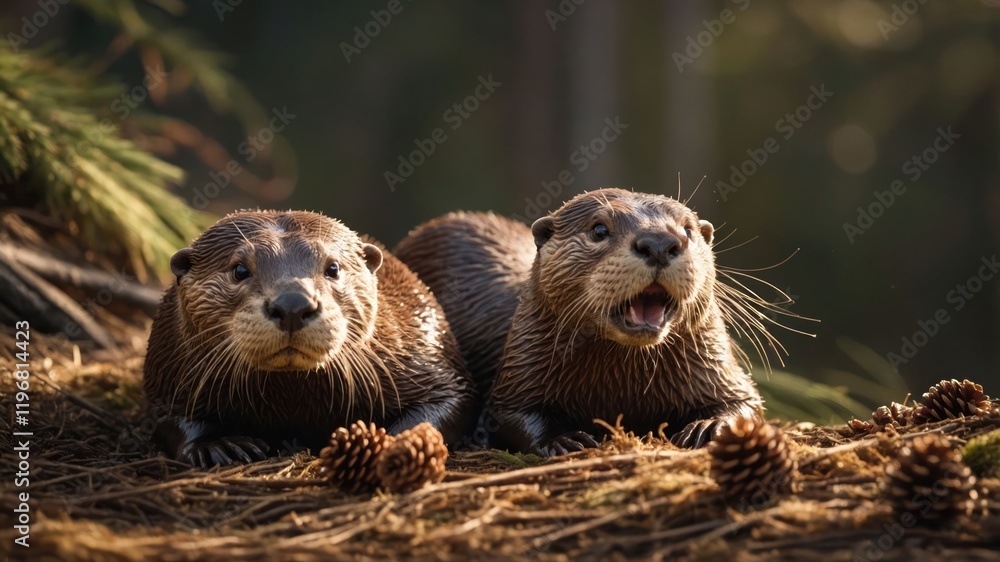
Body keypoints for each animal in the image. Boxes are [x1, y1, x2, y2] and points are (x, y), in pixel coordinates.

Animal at [142, 208, 480, 466]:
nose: (293, 304)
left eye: (333, 268)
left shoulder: (420, 349)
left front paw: (394, 441)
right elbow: (166, 416)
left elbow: (450, 398)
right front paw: (218, 444)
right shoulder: (167, 366)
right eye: (239, 269)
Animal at [396, 187, 764, 456]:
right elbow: (509, 416)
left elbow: (746, 403)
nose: (660, 243)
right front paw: (563, 439)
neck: (620, 391)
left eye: (687, 229)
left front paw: (709, 426)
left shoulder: (717, 366)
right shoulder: (517, 376)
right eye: (599, 229)